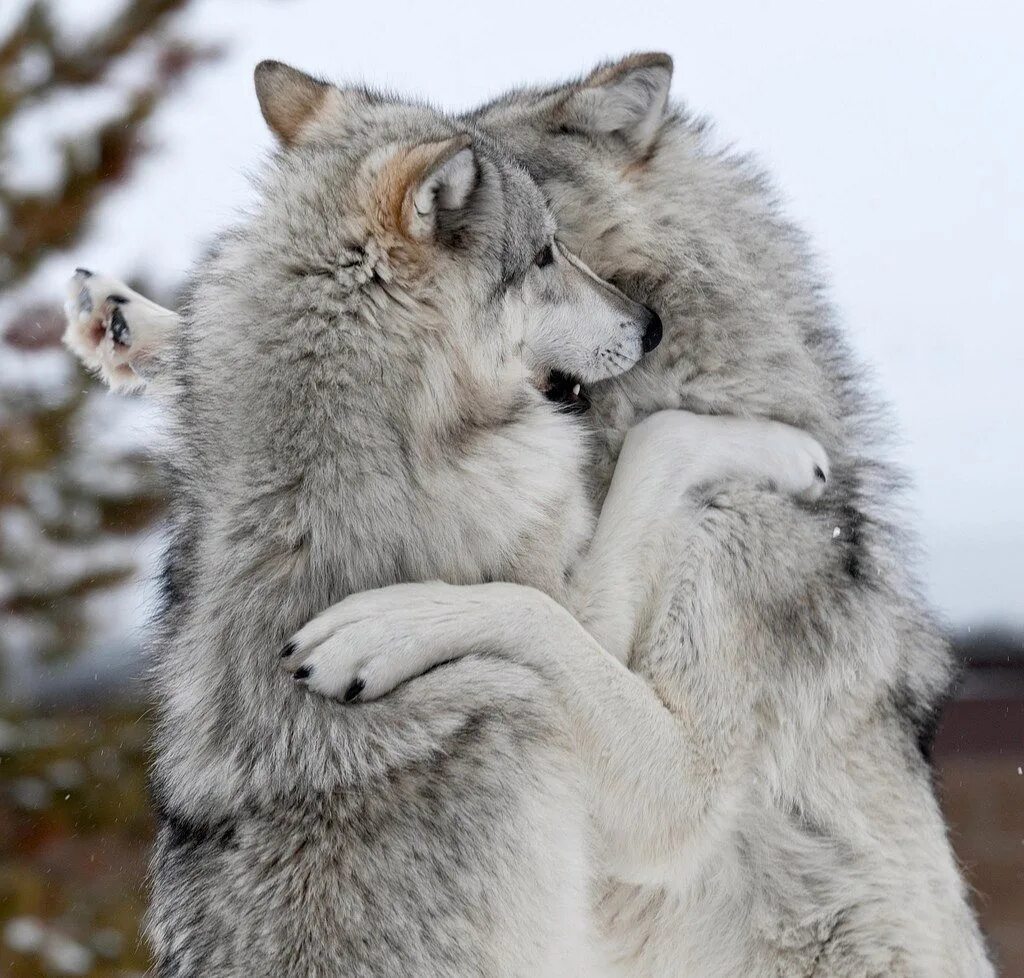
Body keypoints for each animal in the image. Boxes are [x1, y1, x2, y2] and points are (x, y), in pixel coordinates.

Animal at [61, 62, 831, 978]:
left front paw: (125, 321)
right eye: (544, 254)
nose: (649, 326)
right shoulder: (618, 690)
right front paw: (792, 452)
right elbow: (651, 452)